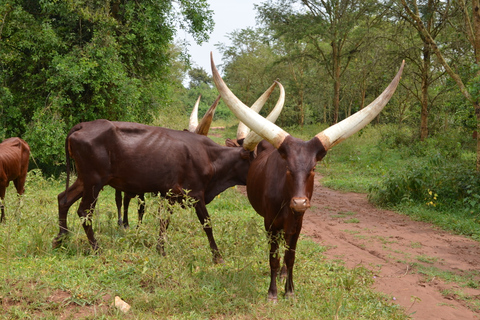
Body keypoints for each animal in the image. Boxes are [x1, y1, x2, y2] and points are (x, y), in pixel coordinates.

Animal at [212, 53, 404, 302]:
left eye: (313, 168)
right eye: (287, 167)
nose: (300, 202)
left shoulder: (298, 223)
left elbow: (290, 257)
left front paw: (290, 290)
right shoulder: (270, 223)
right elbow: (273, 258)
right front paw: (272, 292)